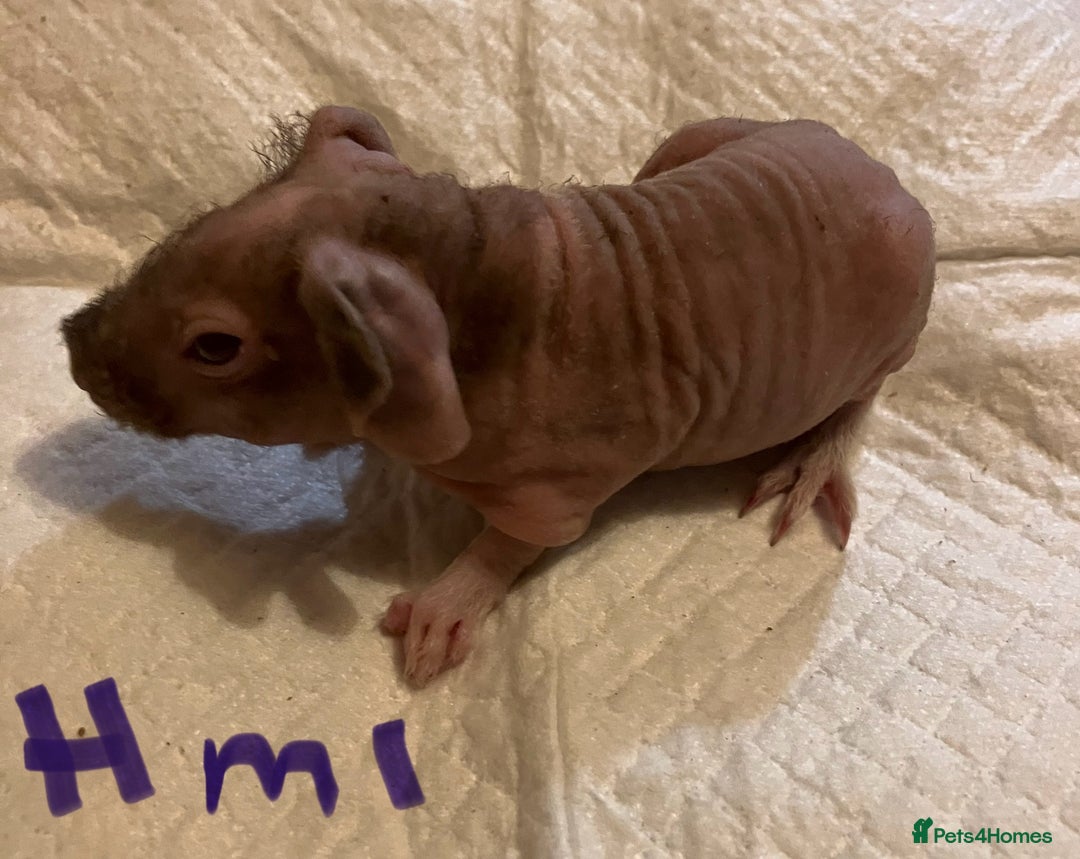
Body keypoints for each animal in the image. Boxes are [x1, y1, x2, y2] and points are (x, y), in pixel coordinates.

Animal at [62, 106, 934, 686]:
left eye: (214, 347)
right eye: (190, 229)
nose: (73, 341)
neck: (482, 269)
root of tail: (895, 185)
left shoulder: (562, 474)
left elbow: (523, 537)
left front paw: (449, 600)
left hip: (889, 336)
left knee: (858, 400)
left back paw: (812, 460)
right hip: (727, 133)